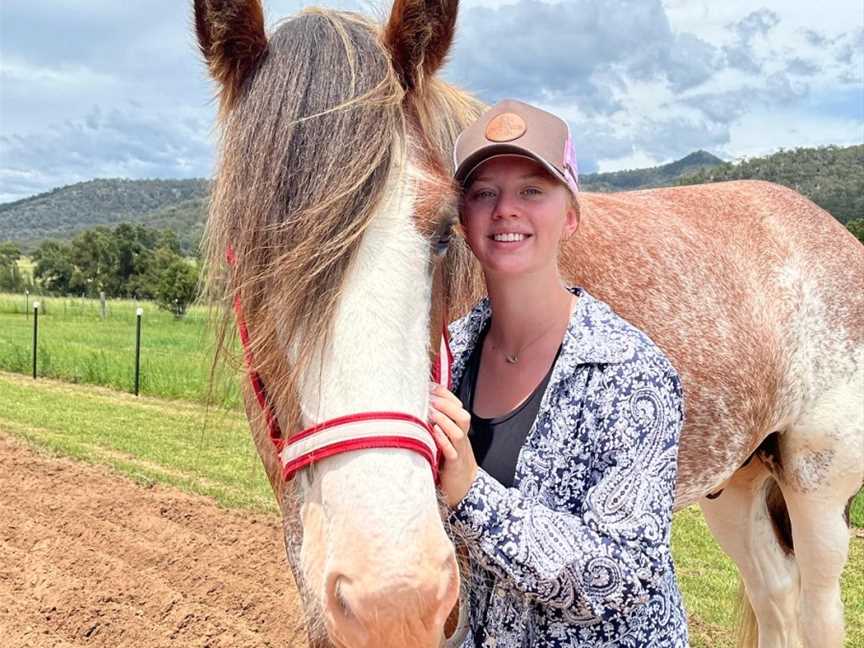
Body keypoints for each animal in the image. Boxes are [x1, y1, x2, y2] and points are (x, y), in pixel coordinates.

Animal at [196, 2, 864, 644]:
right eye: (248, 253)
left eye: (444, 231)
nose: (395, 599)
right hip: (736, 482)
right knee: (775, 598)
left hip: (818, 494)